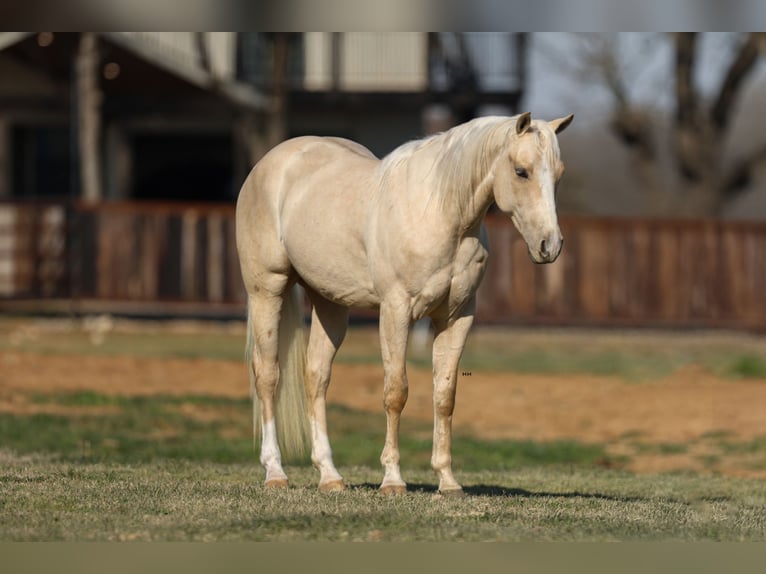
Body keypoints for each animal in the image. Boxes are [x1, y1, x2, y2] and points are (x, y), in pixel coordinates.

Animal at [237, 111, 572, 496]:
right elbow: (396, 392)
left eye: (558, 173)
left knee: (316, 377)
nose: (550, 245)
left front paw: (447, 480)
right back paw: (275, 472)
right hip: (267, 291)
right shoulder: (396, 311)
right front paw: (393, 480)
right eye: (521, 171)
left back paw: (330, 476)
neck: (441, 215)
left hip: (330, 303)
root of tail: (271, 162)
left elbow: (445, 395)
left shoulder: (457, 317)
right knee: (267, 375)